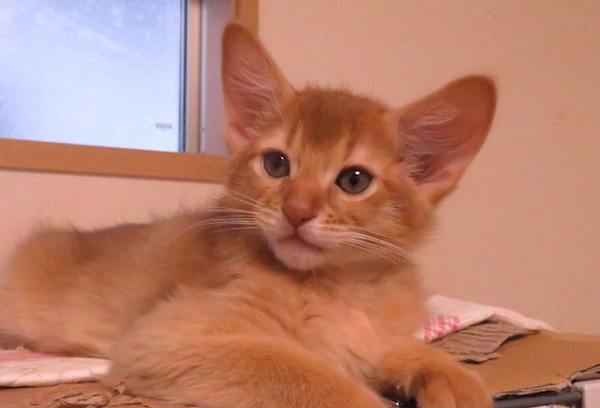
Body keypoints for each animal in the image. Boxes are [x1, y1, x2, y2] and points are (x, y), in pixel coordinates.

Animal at [0, 22, 496, 408]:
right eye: (276, 164)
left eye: (354, 180)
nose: (296, 211)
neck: (342, 287)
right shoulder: (164, 338)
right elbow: (308, 375)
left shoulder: (372, 336)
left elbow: (404, 349)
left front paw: (457, 381)